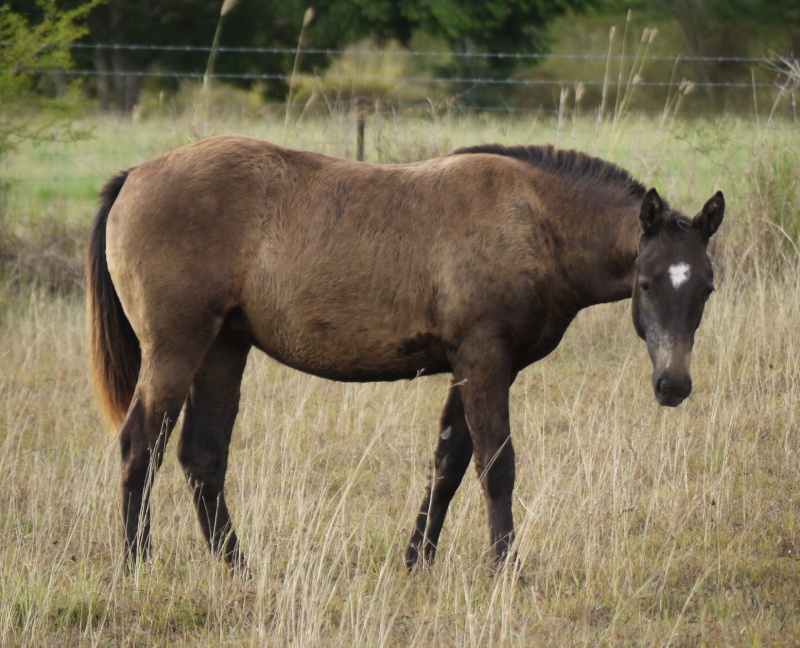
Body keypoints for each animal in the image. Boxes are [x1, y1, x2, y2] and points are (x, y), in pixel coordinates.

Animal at [87, 134, 724, 568]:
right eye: (647, 283)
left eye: (706, 286)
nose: (673, 385)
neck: (533, 219)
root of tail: (135, 175)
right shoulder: (484, 357)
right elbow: (497, 464)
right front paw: (506, 567)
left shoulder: (478, 364)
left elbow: (449, 463)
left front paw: (418, 559)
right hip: (177, 347)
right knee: (141, 443)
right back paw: (139, 564)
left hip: (223, 346)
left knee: (202, 456)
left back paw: (237, 567)